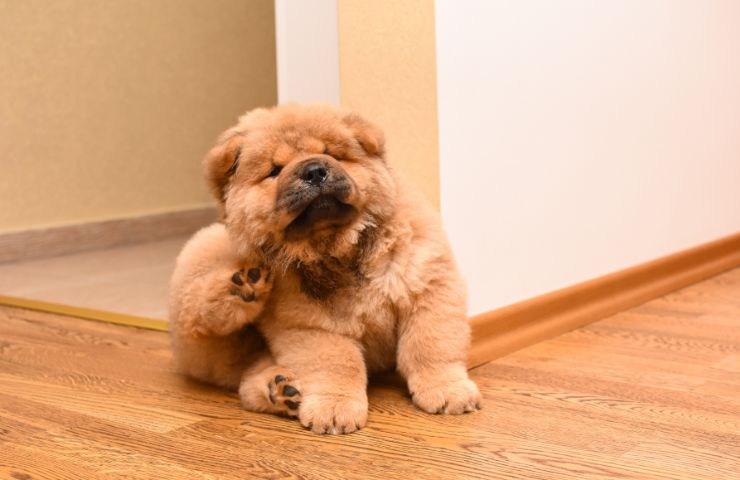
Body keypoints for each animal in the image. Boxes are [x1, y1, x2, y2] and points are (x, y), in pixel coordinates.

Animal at [168, 103, 482, 434]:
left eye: (332, 154)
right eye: (274, 171)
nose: (314, 171)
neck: (339, 248)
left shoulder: (428, 287)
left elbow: (430, 347)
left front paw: (448, 391)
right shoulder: (313, 324)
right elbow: (337, 365)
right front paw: (334, 409)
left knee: (248, 377)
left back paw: (282, 389)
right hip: (208, 260)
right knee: (201, 321)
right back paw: (241, 286)